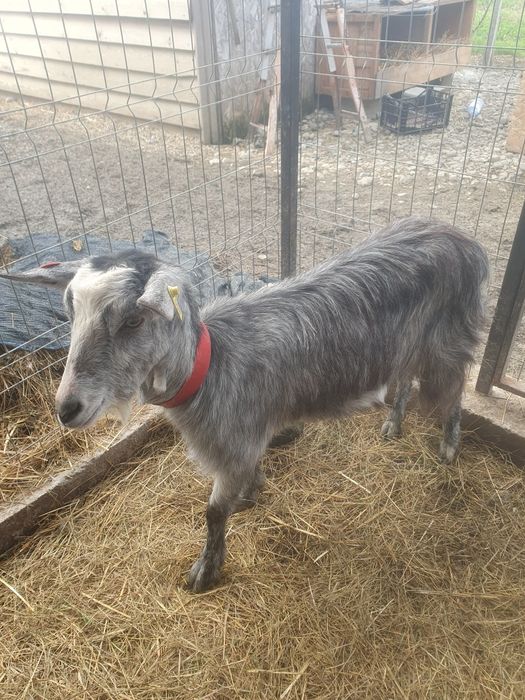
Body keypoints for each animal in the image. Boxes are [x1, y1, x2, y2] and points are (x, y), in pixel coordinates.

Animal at [2, 217, 489, 592]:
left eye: (134, 319)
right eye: (70, 313)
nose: (67, 408)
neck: (210, 366)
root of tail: (464, 240)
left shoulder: (234, 444)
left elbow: (213, 512)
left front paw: (206, 571)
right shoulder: (245, 439)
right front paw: (251, 496)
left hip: (446, 342)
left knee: (454, 393)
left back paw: (449, 446)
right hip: (412, 344)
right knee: (405, 377)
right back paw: (394, 422)